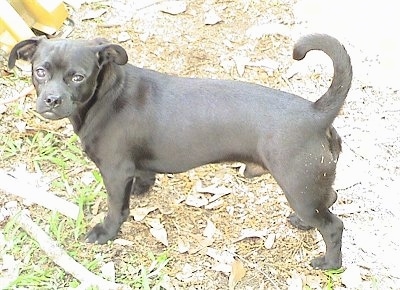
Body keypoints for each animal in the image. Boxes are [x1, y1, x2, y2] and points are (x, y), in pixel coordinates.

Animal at [7, 34, 352, 270]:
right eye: (40, 71)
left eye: (78, 76)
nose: (51, 100)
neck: (107, 95)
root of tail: (316, 112)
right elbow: (144, 175)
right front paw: (143, 188)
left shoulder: (115, 172)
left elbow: (117, 208)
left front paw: (106, 232)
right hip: (310, 185)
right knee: (329, 199)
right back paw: (304, 224)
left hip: (298, 186)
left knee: (333, 226)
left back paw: (329, 264)